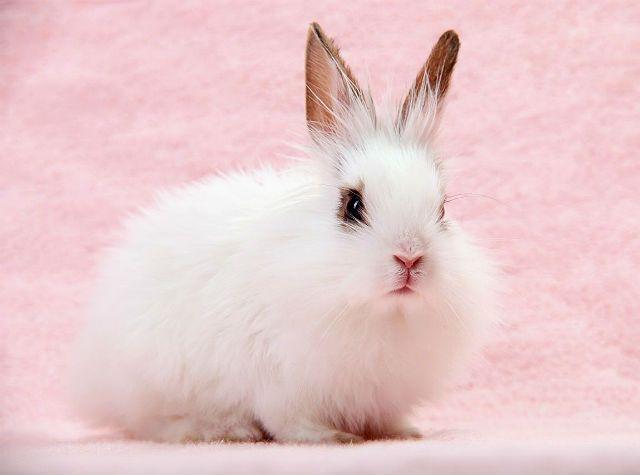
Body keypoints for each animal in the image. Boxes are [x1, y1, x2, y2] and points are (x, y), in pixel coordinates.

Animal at [72, 22, 498, 444]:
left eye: (442, 209)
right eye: (352, 205)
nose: (409, 257)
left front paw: (404, 432)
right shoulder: (281, 384)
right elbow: (290, 422)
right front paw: (334, 437)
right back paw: (224, 430)